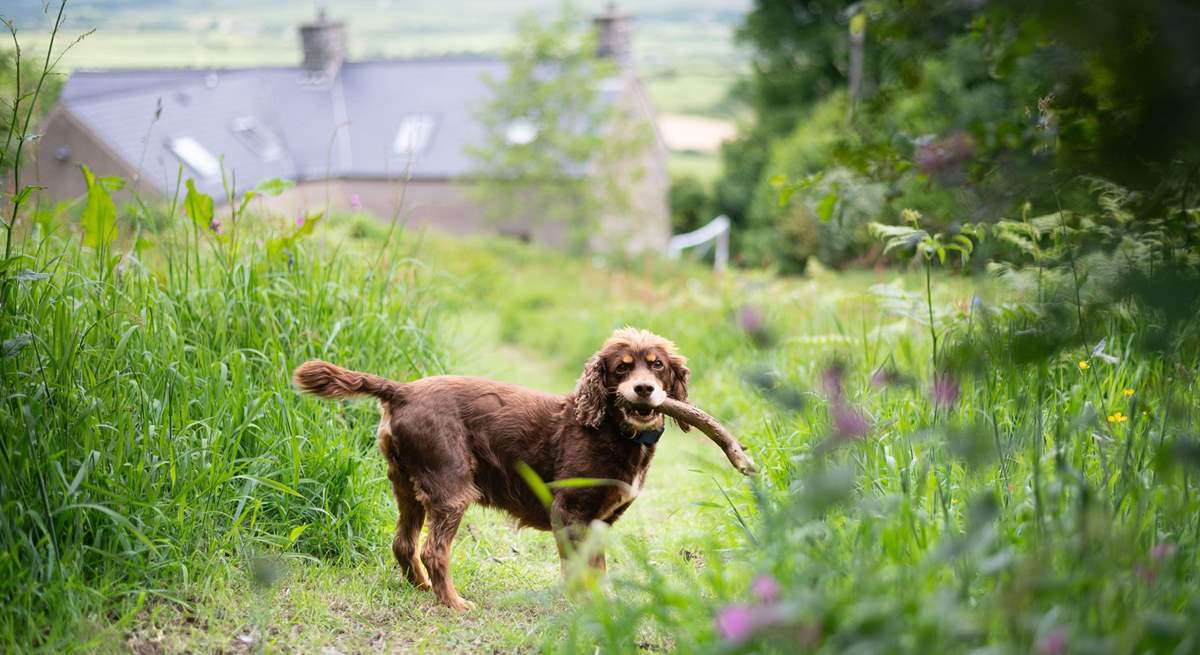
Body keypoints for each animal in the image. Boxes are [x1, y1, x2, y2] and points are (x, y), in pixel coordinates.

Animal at [291, 323, 696, 607]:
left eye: (657, 365)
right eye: (621, 369)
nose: (644, 389)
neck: (612, 429)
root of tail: (402, 391)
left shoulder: (598, 520)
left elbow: (597, 567)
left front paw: (605, 603)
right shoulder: (569, 510)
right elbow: (577, 568)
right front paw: (582, 605)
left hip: (407, 485)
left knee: (403, 543)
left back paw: (422, 587)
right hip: (452, 488)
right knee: (433, 550)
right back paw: (453, 603)